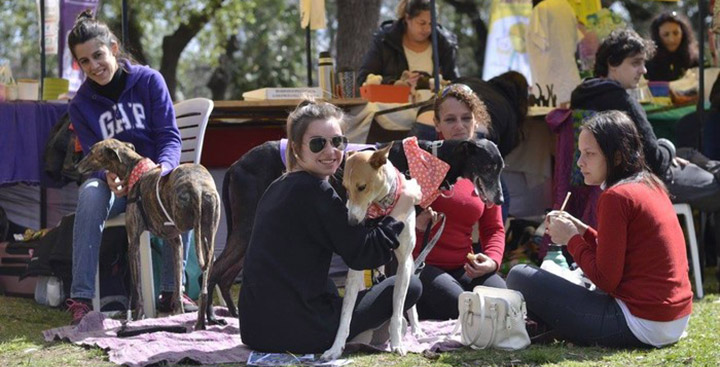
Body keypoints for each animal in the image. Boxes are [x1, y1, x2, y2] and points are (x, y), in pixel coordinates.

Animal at [320, 143, 422, 360]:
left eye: (361, 187)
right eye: (345, 189)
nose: (351, 223)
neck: (381, 211)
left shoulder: (403, 262)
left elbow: (397, 310)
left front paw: (397, 343)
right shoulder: (357, 264)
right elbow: (346, 313)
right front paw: (336, 347)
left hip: (409, 262)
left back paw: (417, 329)